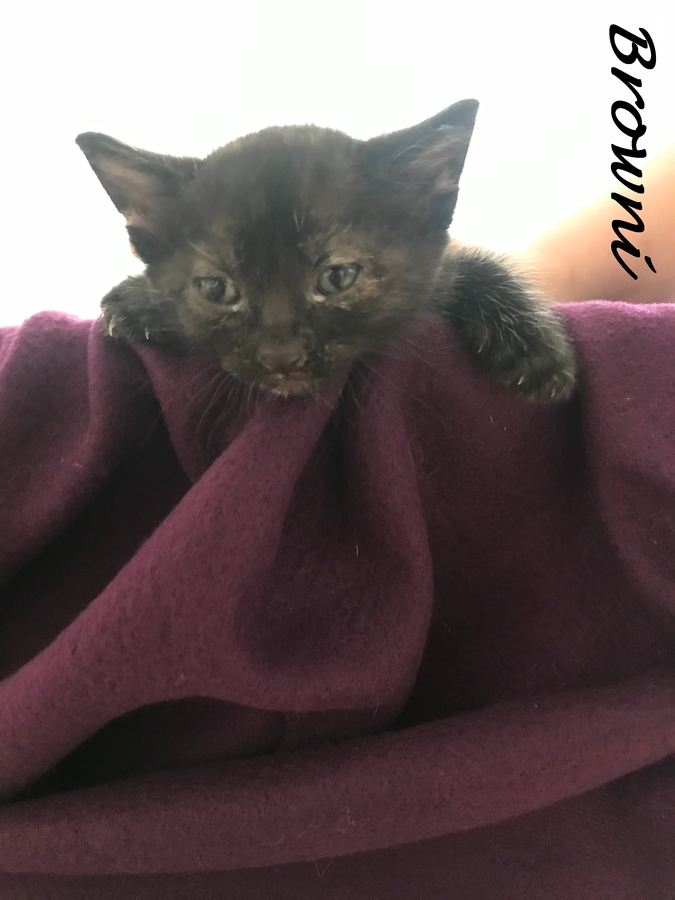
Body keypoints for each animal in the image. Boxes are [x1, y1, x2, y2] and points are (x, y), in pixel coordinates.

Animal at [76, 100, 576, 403]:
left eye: (338, 278)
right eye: (216, 289)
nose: (281, 356)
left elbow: (474, 263)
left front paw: (532, 348)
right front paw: (139, 302)